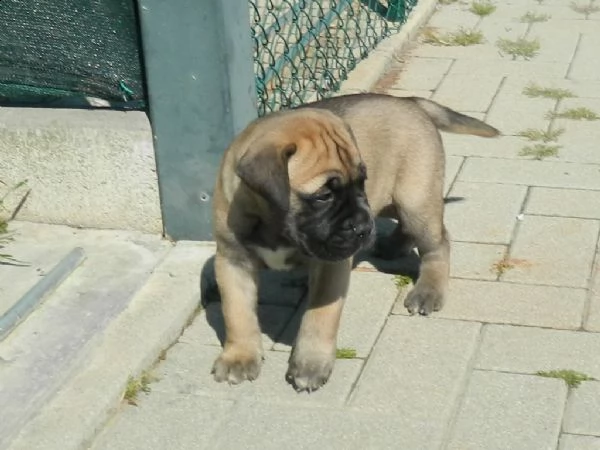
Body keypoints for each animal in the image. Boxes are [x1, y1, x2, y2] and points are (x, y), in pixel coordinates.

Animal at [209, 93, 500, 392]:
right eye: (323, 196)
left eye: (361, 181)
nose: (362, 228)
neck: (273, 223)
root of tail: (409, 101)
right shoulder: (232, 260)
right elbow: (237, 312)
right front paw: (239, 356)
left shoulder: (331, 264)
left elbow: (320, 314)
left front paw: (311, 363)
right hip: (395, 201)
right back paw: (391, 246)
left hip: (415, 200)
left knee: (439, 242)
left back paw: (428, 290)